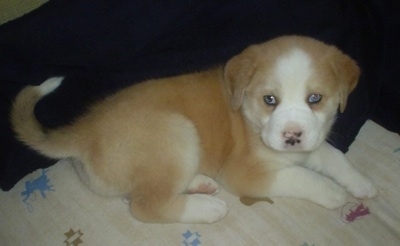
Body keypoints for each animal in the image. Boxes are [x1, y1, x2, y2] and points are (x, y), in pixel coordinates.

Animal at [10, 35, 376, 224]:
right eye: (270, 99)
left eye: (315, 99)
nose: (292, 137)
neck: (246, 113)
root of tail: (83, 131)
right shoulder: (246, 173)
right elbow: (302, 177)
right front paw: (332, 193)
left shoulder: (311, 144)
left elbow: (333, 156)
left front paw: (361, 183)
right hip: (178, 131)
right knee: (145, 206)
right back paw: (207, 208)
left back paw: (199, 184)